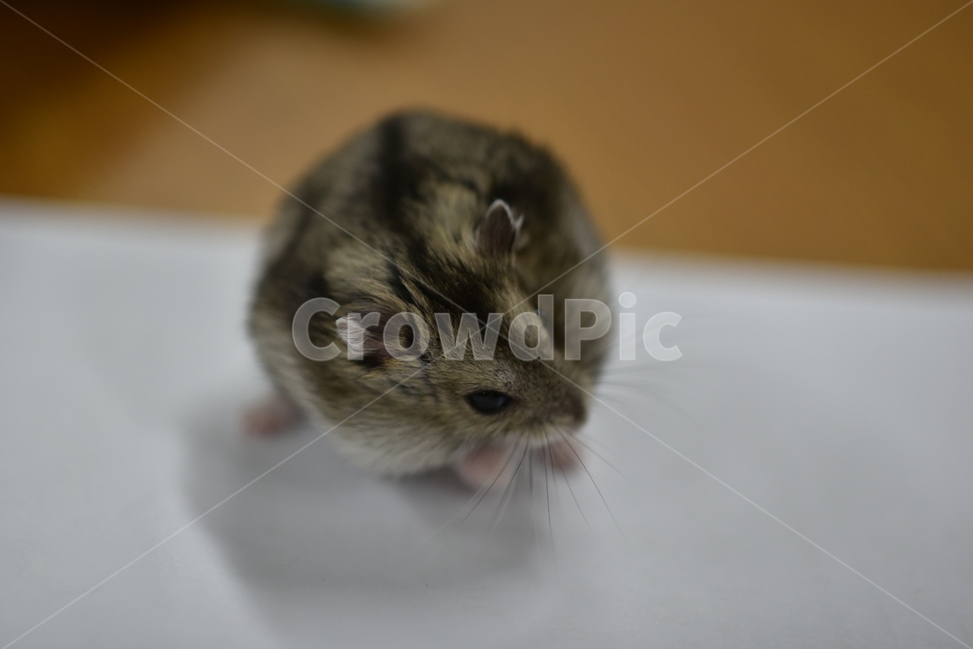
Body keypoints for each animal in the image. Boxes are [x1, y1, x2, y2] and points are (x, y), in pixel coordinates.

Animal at [248, 110, 611, 489]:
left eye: (545, 318)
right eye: (487, 400)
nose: (581, 417)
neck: (417, 269)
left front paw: (566, 453)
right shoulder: (376, 441)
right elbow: (468, 463)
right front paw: (496, 468)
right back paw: (255, 423)